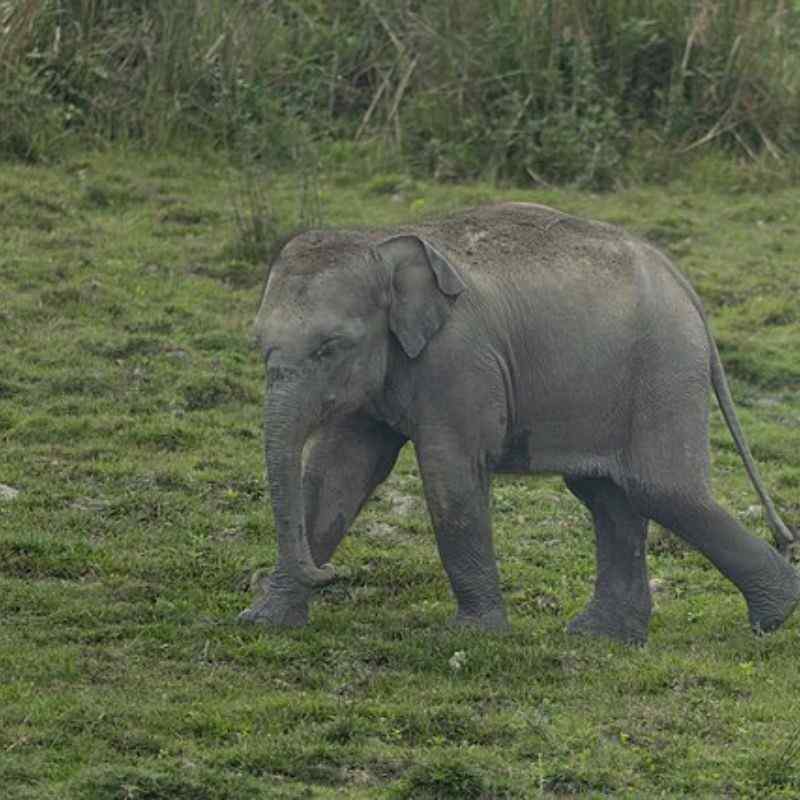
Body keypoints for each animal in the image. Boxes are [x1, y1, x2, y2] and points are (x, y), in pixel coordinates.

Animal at [239, 202, 799, 644]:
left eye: (331, 347)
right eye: (258, 342)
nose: (330, 572)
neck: (383, 240)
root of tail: (684, 284)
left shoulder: (459, 363)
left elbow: (450, 473)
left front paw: (471, 636)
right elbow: (335, 473)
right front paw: (263, 621)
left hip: (664, 365)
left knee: (662, 490)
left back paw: (776, 614)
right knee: (608, 494)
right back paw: (601, 635)